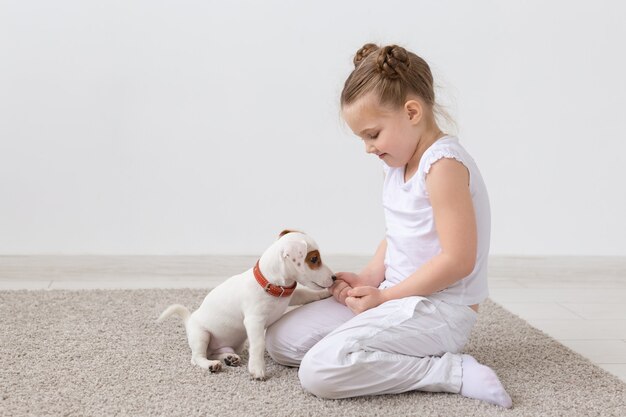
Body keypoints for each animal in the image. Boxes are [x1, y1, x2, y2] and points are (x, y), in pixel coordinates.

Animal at [158, 229, 334, 378]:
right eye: (314, 259)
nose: (334, 278)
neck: (271, 285)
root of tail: (189, 322)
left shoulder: (292, 297)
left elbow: (306, 294)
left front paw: (326, 293)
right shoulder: (254, 321)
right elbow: (258, 344)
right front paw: (257, 369)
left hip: (232, 345)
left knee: (215, 352)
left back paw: (229, 358)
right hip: (201, 335)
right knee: (197, 357)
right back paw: (211, 365)